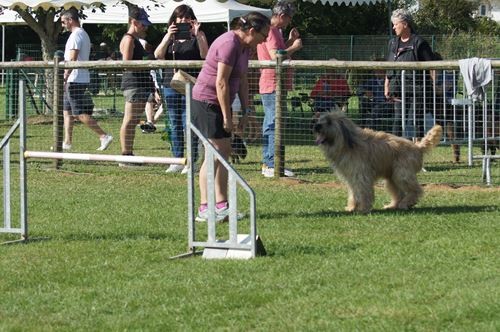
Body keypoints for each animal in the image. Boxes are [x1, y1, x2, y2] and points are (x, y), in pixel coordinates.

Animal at [314, 113, 444, 214]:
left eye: (329, 122)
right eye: (320, 119)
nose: (316, 126)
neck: (346, 143)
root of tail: (417, 147)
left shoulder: (361, 175)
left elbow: (363, 191)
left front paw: (363, 209)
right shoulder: (351, 177)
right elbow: (354, 193)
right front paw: (352, 207)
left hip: (402, 174)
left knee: (416, 190)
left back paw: (406, 203)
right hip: (392, 177)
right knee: (398, 193)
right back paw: (392, 205)